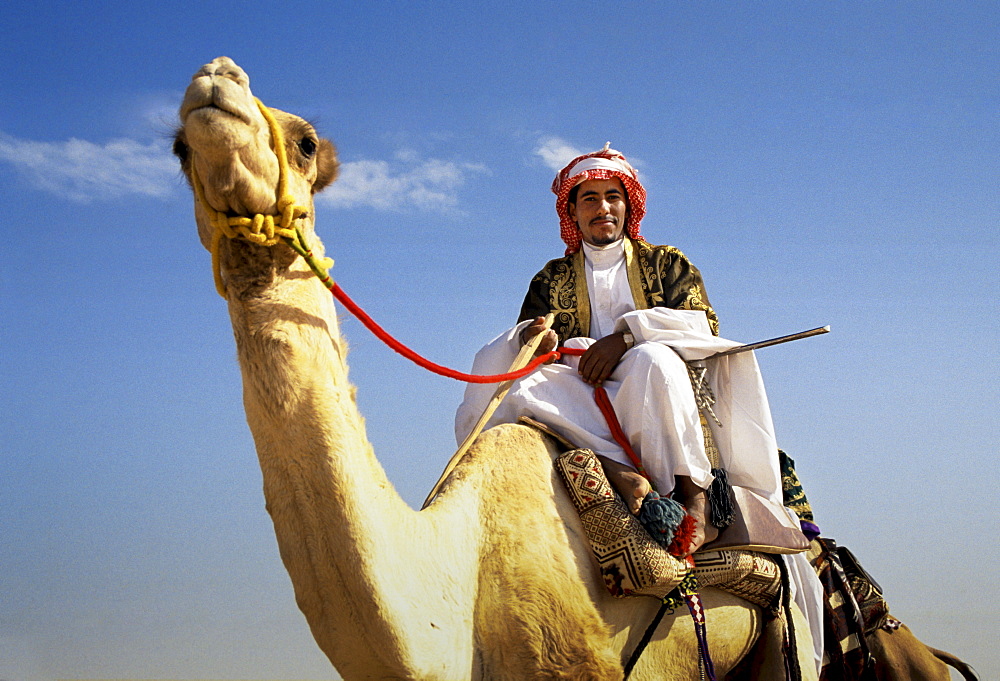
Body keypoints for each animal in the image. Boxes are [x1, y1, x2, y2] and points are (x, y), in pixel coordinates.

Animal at [176, 55, 820, 676]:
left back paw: (686, 511)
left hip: (785, 628)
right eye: (179, 149)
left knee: (658, 360)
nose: (216, 77)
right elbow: (532, 327)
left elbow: (695, 317)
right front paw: (548, 335)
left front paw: (606, 347)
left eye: (307, 143)